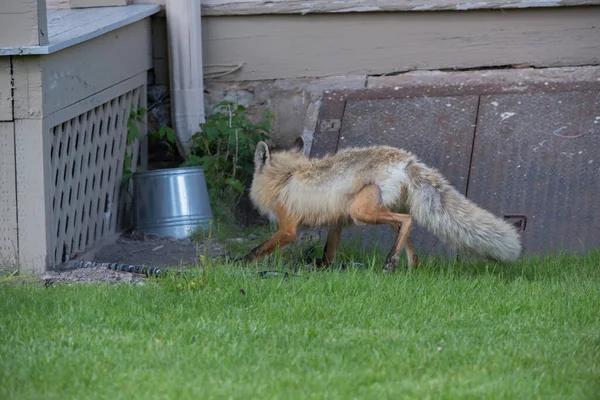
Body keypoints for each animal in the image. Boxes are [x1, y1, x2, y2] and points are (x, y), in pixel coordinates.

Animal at [241, 137, 524, 272]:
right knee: (410, 243)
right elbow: (328, 256)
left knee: (407, 222)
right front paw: (322, 270)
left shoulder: (288, 228)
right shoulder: (336, 223)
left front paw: (235, 265)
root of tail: (407, 160)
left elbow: (255, 251)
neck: (286, 175)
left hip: (361, 211)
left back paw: (390, 262)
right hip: (380, 211)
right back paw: (408, 268)